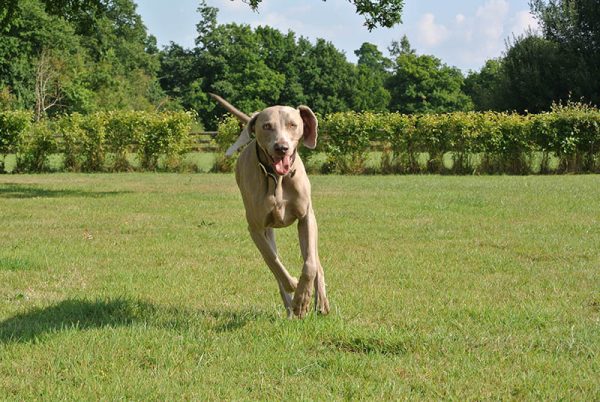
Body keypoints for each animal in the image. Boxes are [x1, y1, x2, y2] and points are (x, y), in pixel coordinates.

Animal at [211, 93, 330, 318]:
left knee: (315, 260)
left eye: (293, 124)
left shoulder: (306, 218)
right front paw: (295, 289)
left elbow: (310, 265)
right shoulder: (256, 228)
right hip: (268, 229)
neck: (277, 179)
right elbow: (273, 262)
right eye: (266, 126)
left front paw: (303, 298)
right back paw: (291, 305)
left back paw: (320, 302)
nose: (281, 148)